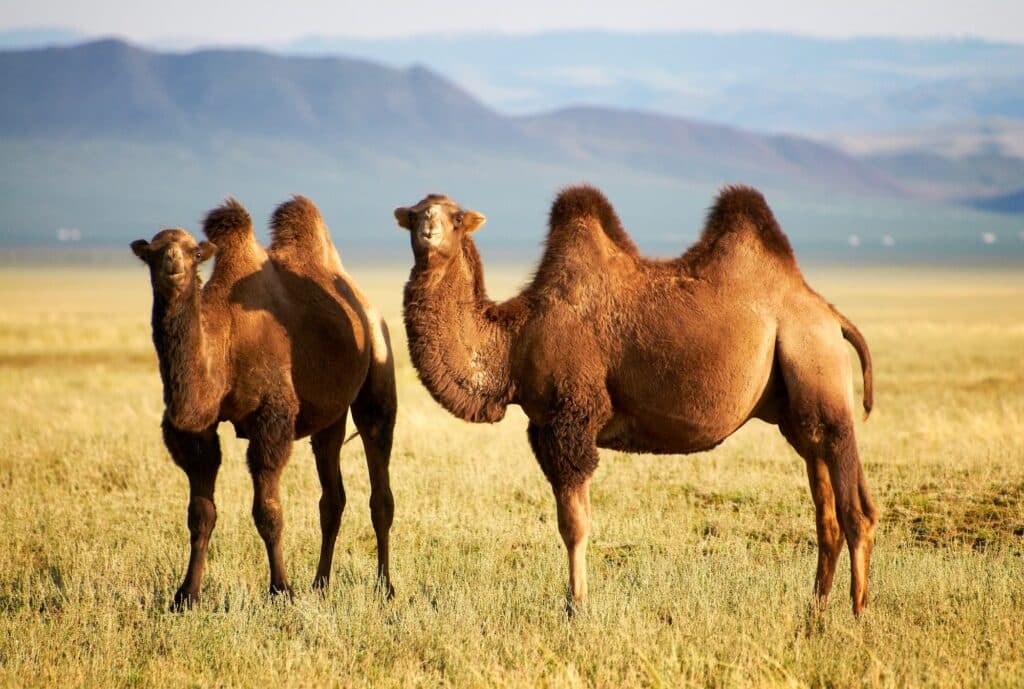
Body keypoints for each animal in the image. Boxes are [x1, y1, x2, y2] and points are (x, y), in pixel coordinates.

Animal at [132, 194, 395, 606]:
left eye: (194, 252)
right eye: (153, 252)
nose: (172, 263)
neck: (223, 341)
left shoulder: (271, 419)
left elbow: (268, 512)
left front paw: (281, 590)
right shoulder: (198, 430)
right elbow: (200, 514)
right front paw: (186, 595)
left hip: (378, 372)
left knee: (379, 485)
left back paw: (385, 586)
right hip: (330, 414)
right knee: (332, 497)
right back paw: (320, 584)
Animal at [395, 185, 876, 614]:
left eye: (457, 217)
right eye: (415, 213)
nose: (429, 229)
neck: (514, 340)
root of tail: (831, 316)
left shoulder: (570, 419)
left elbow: (574, 525)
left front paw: (576, 606)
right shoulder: (542, 427)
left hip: (816, 364)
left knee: (856, 510)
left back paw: (855, 615)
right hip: (797, 411)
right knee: (826, 511)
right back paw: (814, 612)